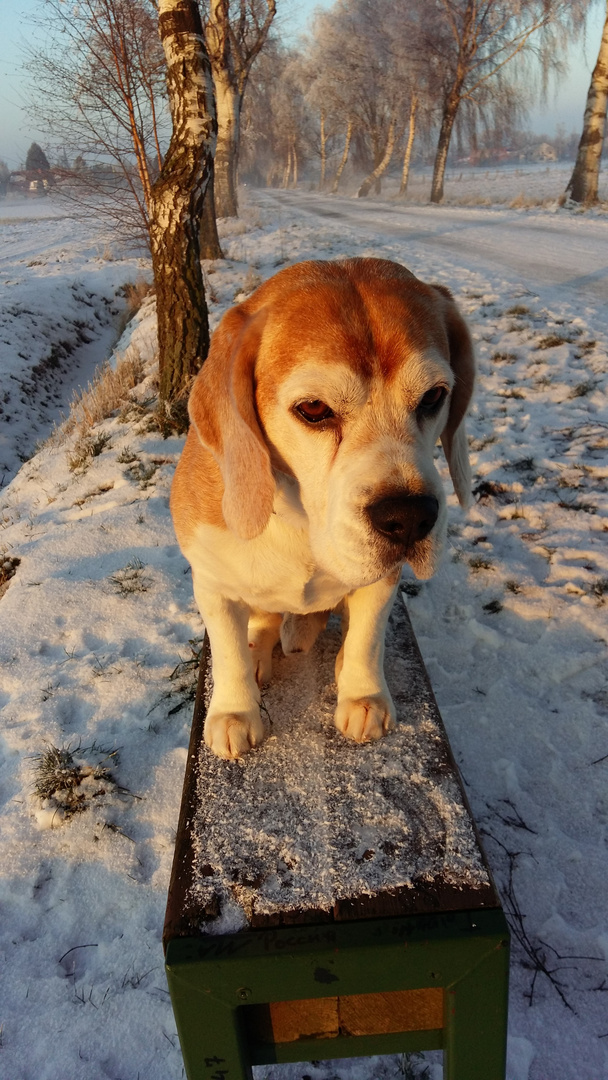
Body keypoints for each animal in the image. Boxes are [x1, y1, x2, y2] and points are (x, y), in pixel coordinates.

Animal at [170, 258, 475, 760]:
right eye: (313, 408)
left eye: (433, 397)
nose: (410, 517)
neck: (302, 525)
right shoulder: (211, 583)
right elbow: (228, 652)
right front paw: (235, 711)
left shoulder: (382, 580)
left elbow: (367, 637)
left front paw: (363, 695)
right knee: (261, 624)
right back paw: (259, 650)